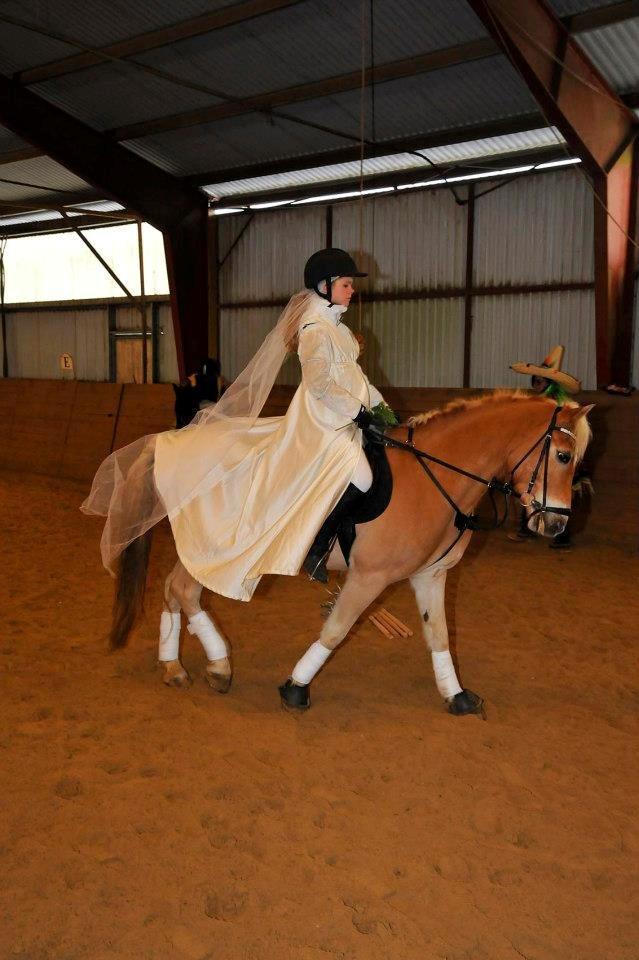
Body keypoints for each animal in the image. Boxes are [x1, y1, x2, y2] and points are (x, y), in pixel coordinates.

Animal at [107, 390, 592, 712]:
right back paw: (220, 667)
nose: (556, 524)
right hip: (218, 552)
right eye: (564, 456)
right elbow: (336, 630)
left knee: (171, 589)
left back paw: (173, 667)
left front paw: (456, 695)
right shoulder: (367, 578)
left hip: (201, 549)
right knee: (185, 592)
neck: (434, 477)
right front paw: (296, 688)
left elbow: (439, 634)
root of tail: (169, 441)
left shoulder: (430, 575)